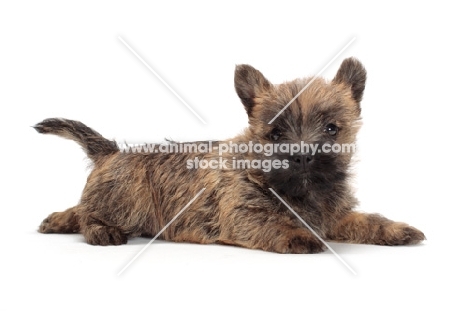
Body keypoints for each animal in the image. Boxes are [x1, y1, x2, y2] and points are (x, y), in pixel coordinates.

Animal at [35, 58, 424, 254]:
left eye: (332, 128)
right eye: (274, 134)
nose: (301, 156)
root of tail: (111, 151)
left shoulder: (336, 216)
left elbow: (366, 220)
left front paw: (396, 229)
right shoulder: (242, 215)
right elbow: (273, 224)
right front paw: (300, 236)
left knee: (79, 208)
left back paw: (55, 220)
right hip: (128, 199)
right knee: (89, 214)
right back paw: (100, 231)